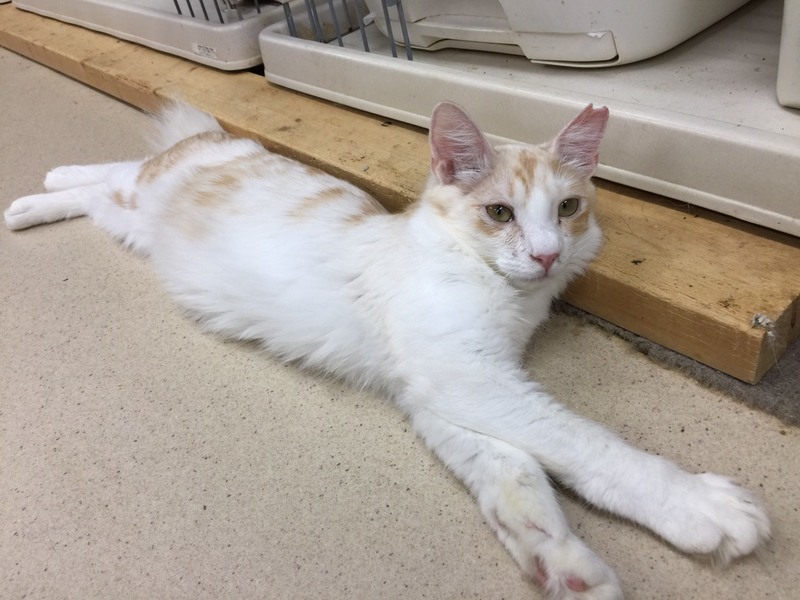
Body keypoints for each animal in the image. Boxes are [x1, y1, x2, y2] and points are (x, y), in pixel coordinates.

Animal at [5, 101, 770, 599]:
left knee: (100, 188)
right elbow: (587, 443)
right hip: (143, 194)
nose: (549, 255)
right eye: (500, 213)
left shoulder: (443, 395)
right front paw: (700, 508)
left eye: (568, 210)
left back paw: (38, 196)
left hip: (130, 223)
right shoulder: (467, 378)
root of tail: (223, 140)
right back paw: (33, 193)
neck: (489, 281)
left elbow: (517, 479)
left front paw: (565, 566)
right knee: (118, 167)